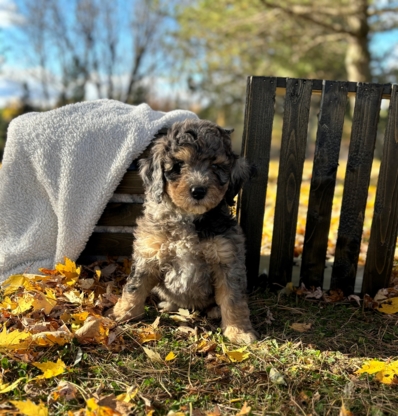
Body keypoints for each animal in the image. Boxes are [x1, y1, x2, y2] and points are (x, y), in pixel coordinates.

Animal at [109, 118, 258, 342]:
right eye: (178, 165)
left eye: (216, 166)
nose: (198, 191)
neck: (188, 218)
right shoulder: (149, 252)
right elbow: (134, 285)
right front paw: (123, 313)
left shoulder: (227, 258)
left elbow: (233, 299)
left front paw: (239, 331)